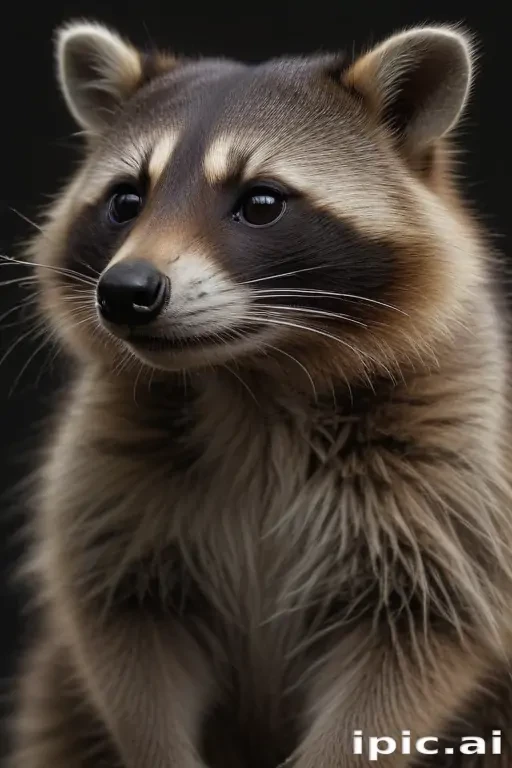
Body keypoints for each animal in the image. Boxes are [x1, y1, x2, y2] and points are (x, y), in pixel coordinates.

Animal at [7, 19, 512, 768]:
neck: (249, 376)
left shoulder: (456, 470)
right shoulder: (108, 468)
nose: (125, 291)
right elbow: (126, 640)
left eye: (261, 202)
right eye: (127, 200)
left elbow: (412, 649)